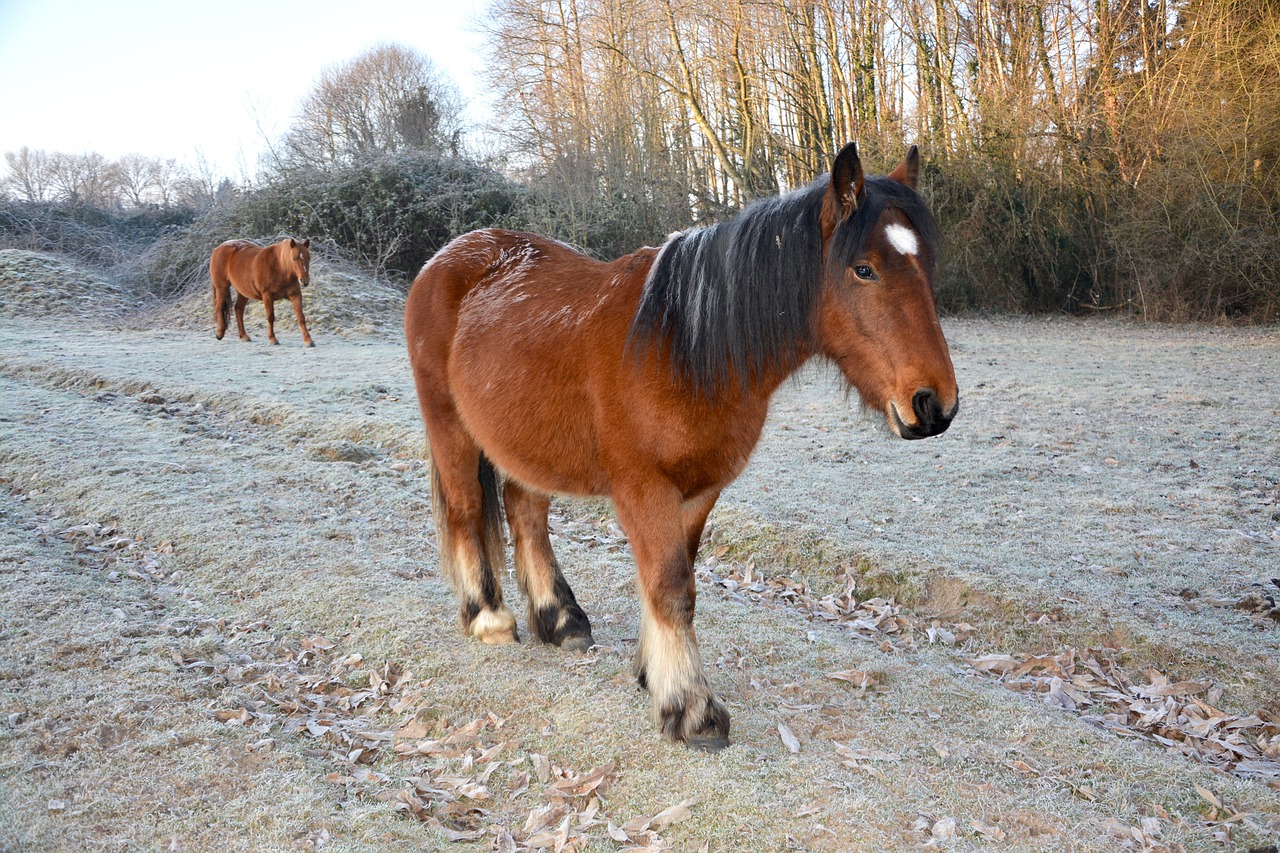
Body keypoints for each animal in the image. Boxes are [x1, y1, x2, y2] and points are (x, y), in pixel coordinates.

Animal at [404, 143, 958, 751]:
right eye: (864, 269)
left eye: (927, 265)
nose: (935, 405)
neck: (683, 346)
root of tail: (447, 257)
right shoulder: (644, 491)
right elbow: (671, 588)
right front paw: (691, 709)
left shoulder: (698, 491)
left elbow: (675, 580)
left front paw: (653, 674)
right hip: (450, 427)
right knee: (466, 509)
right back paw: (489, 619)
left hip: (527, 443)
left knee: (525, 512)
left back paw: (561, 620)